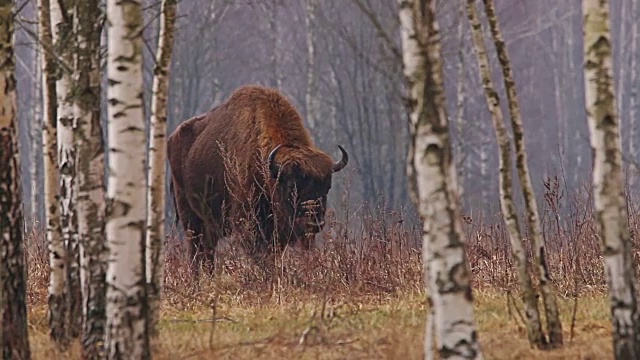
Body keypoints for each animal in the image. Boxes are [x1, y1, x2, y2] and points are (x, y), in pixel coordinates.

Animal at [168, 84, 348, 276]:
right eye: (291, 186)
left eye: (327, 187)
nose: (313, 223)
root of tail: (172, 139)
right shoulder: (248, 224)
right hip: (192, 220)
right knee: (197, 251)